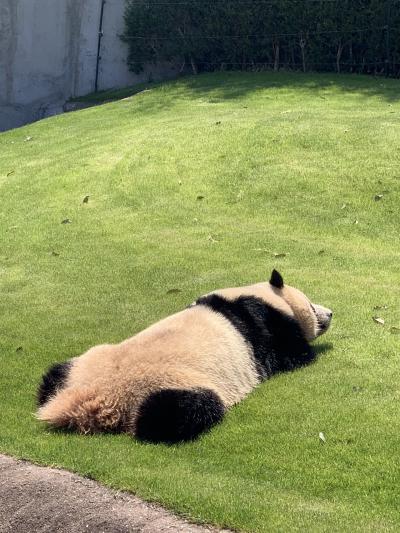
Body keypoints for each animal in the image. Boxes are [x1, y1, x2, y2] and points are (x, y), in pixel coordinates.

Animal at [36, 270, 332, 440]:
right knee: (183, 409)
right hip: (174, 382)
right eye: (310, 304)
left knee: (53, 375)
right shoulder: (267, 324)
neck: (260, 294)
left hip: (86, 363)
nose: (330, 313)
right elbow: (294, 353)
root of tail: (100, 396)